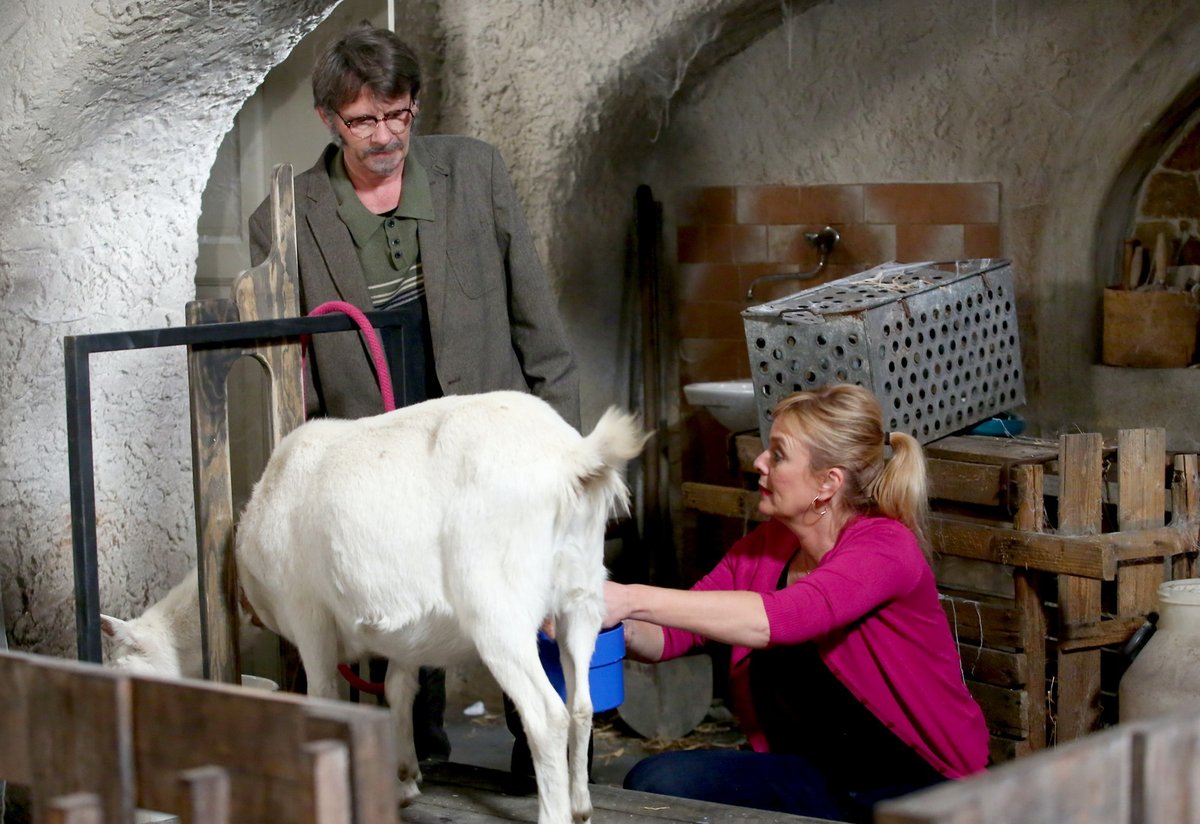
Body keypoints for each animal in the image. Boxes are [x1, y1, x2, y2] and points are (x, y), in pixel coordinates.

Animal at [105, 393, 648, 824]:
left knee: (546, 715)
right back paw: (581, 805)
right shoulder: (406, 633)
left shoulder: (308, 616)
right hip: (582, 593)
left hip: (497, 607)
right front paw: (404, 777)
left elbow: (324, 694)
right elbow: (397, 691)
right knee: (580, 705)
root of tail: (573, 458)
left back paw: (555, 813)